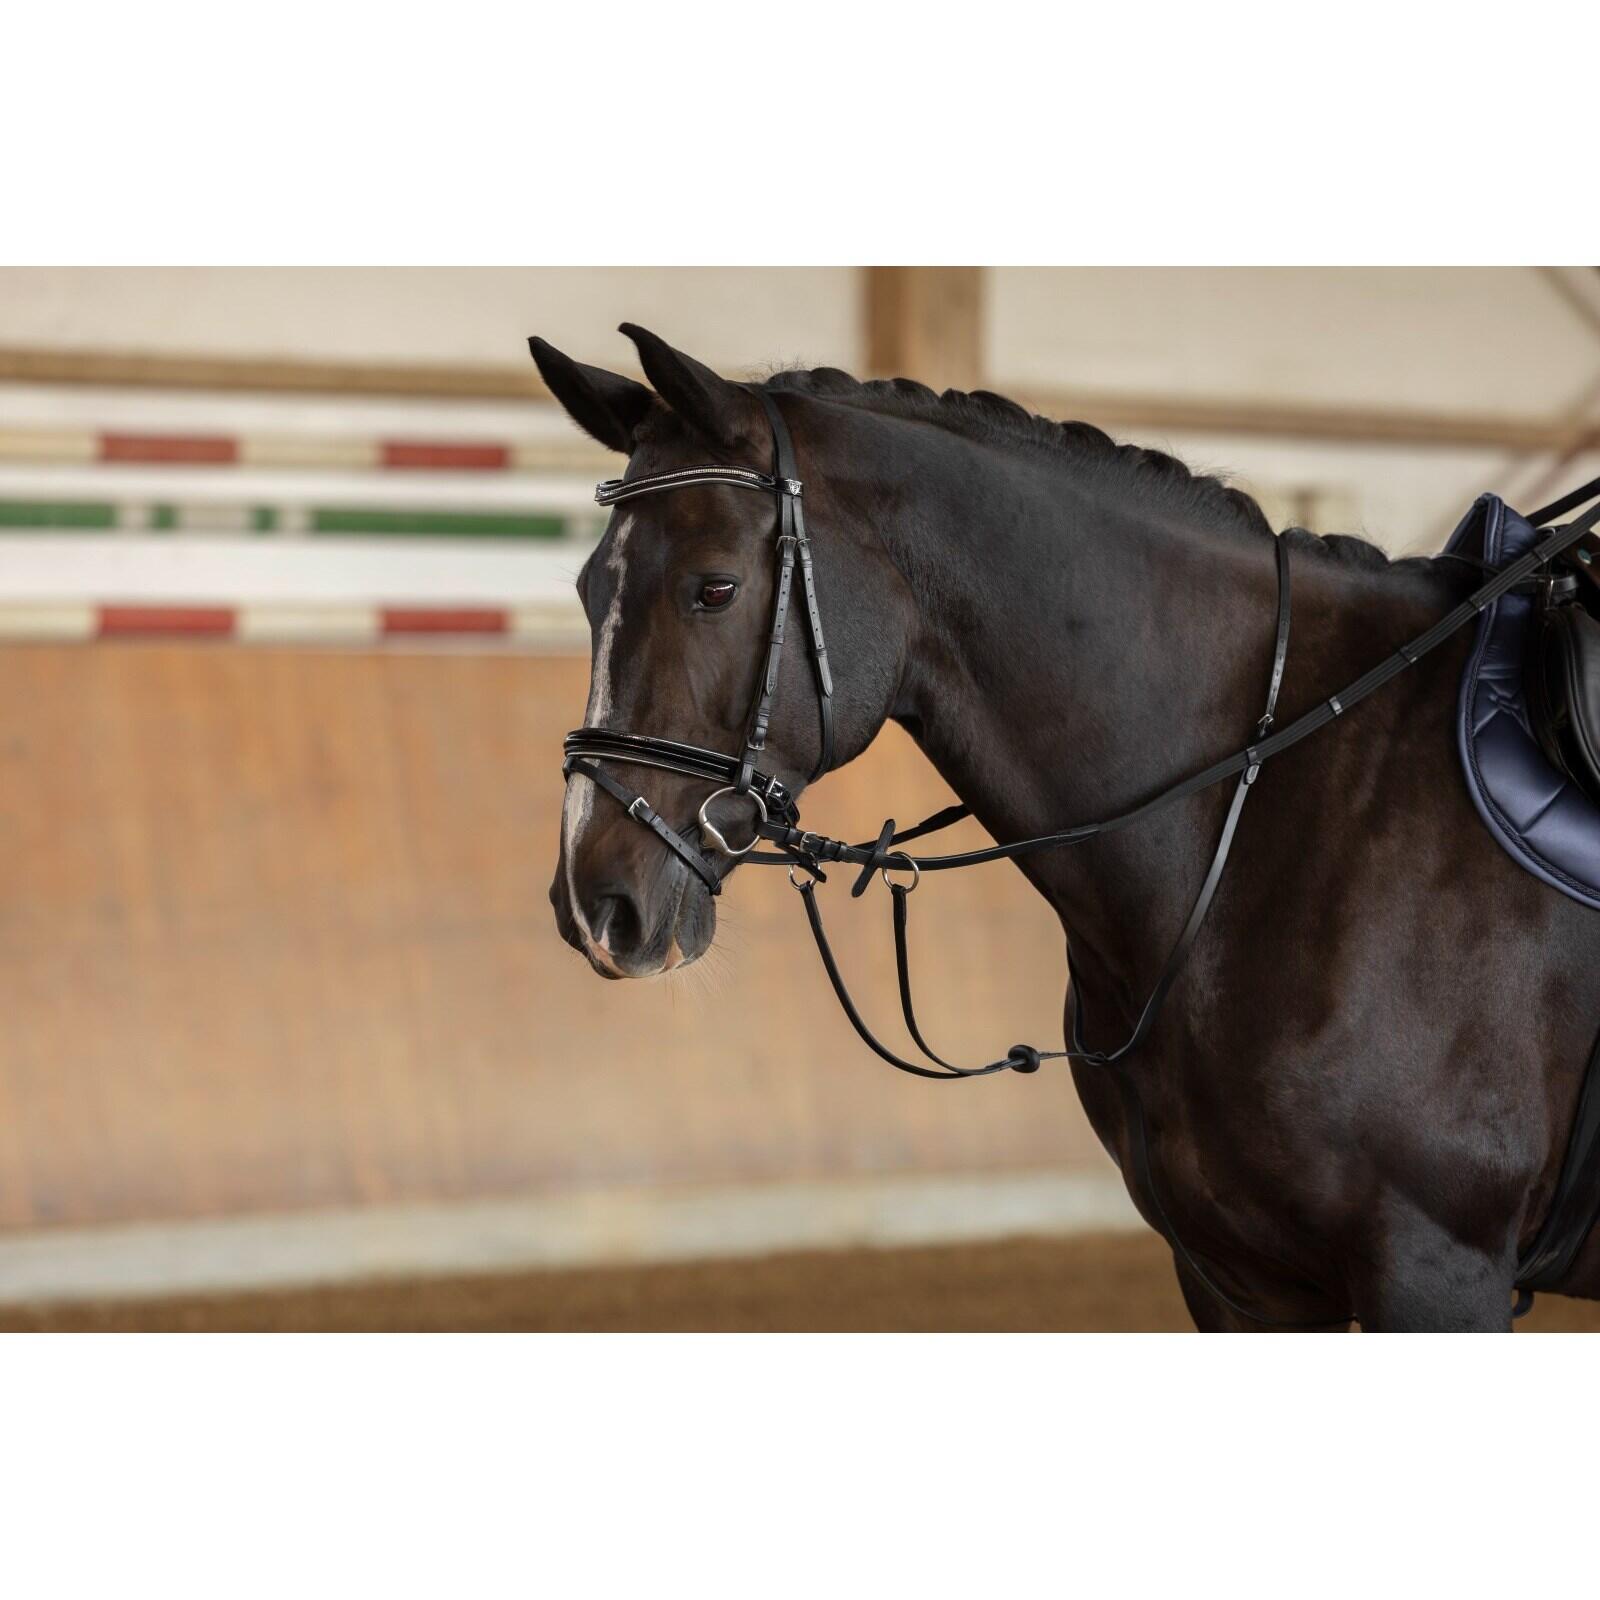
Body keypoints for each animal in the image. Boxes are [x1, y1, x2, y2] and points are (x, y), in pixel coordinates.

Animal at [536, 322, 1600, 1331]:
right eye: (590, 590)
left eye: (714, 588)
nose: (596, 908)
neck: (1260, 810)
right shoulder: (1239, 1284)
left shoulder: (1433, 1265)